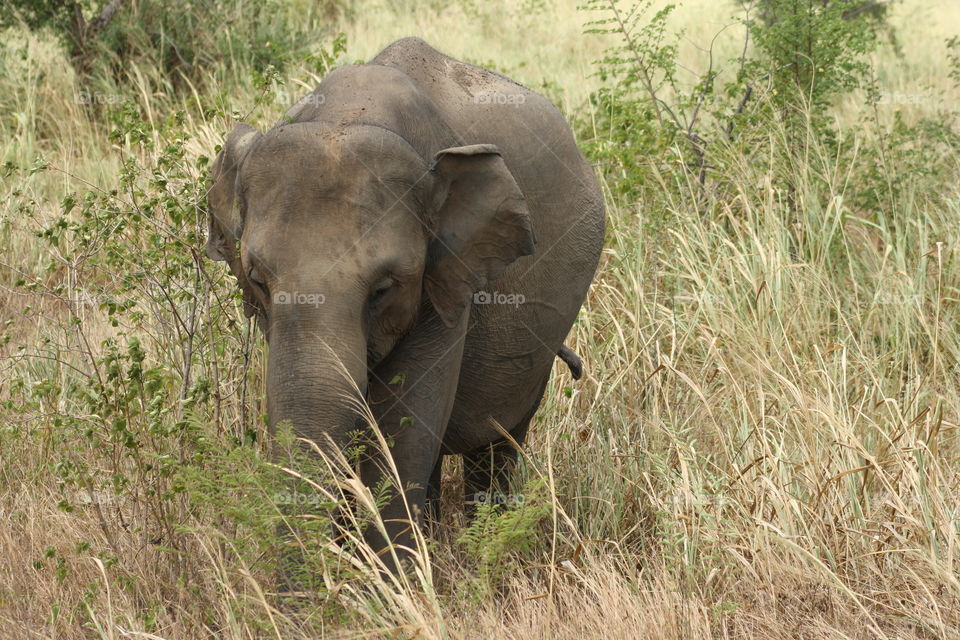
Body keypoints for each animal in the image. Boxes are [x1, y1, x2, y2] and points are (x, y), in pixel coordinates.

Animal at [206, 36, 604, 564]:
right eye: (257, 281)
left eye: (383, 289)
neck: (349, 112)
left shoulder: (447, 279)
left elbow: (404, 430)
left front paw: (392, 581)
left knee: (497, 442)